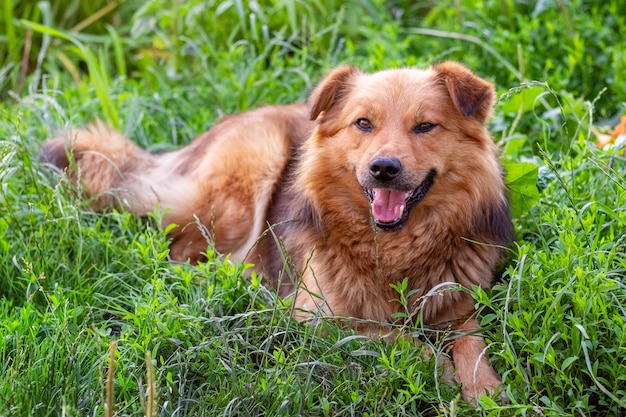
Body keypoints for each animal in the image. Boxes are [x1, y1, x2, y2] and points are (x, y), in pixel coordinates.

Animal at [42, 61, 512, 400]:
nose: (384, 168)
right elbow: (400, 337)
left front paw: (484, 388)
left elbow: (473, 343)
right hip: (249, 174)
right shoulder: (317, 318)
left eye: (425, 126)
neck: (394, 249)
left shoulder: (459, 305)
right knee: (189, 255)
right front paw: (442, 373)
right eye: (363, 123)